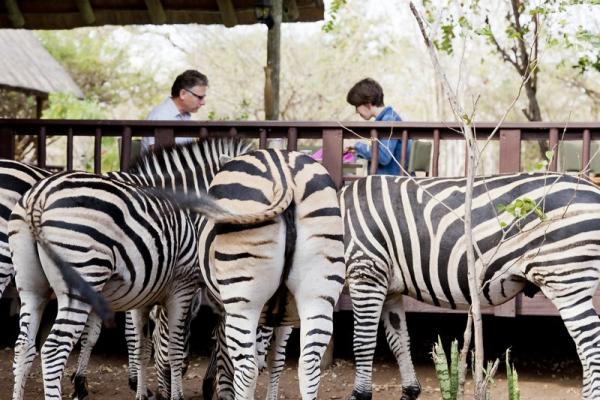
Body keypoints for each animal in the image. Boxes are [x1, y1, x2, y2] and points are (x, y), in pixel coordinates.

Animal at [9, 138, 248, 400]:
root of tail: (39, 197)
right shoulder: (181, 283)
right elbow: (164, 342)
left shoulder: (142, 286)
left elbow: (122, 340)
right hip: (79, 280)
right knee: (53, 350)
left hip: (33, 287)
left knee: (24, 346)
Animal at [340, 173, 600, 400]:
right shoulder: (390, 288)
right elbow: (399, 340)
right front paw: (410, 391)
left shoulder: (366, 271)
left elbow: (362, 341)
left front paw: (360, 395)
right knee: (584, 349)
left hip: (565, 277)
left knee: (591, 346)